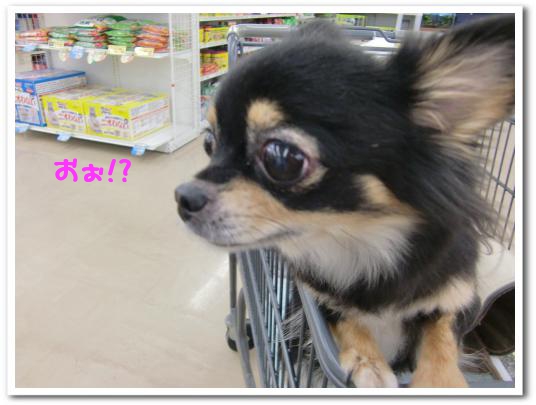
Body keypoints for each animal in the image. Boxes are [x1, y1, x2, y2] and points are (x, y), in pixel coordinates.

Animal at [175, 16, 514, 387]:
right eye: (209, 143)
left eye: (282, 158)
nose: (183, 197)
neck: (365, 243)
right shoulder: (312, 297)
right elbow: (344, 317)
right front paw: (369, 362)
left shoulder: (461, 298)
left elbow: (443, 333)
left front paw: (442, 382)